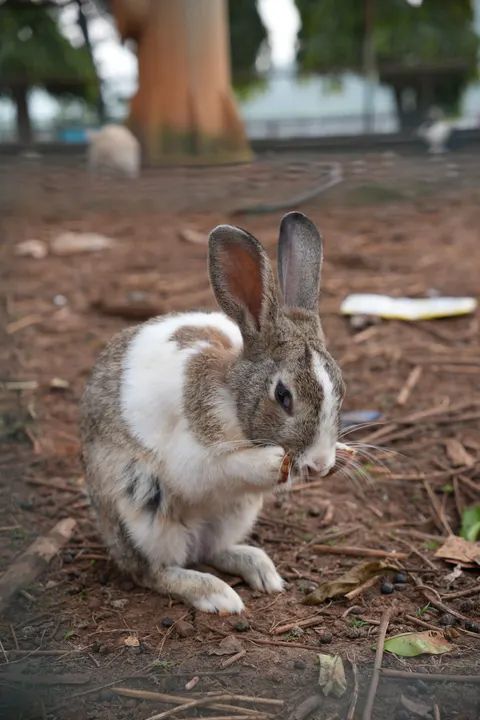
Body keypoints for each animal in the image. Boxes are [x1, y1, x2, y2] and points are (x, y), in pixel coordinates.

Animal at [80, 211, 345, 614]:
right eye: (283, 396)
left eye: (341, 387)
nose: (320, 465)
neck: (234, 395)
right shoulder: (192, 454)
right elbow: (216, 468)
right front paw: (271, 462)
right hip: (141, 511)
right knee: (154, 570)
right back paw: (217, 595)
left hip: (235, 512)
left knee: (211, 549)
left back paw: (262, 571)